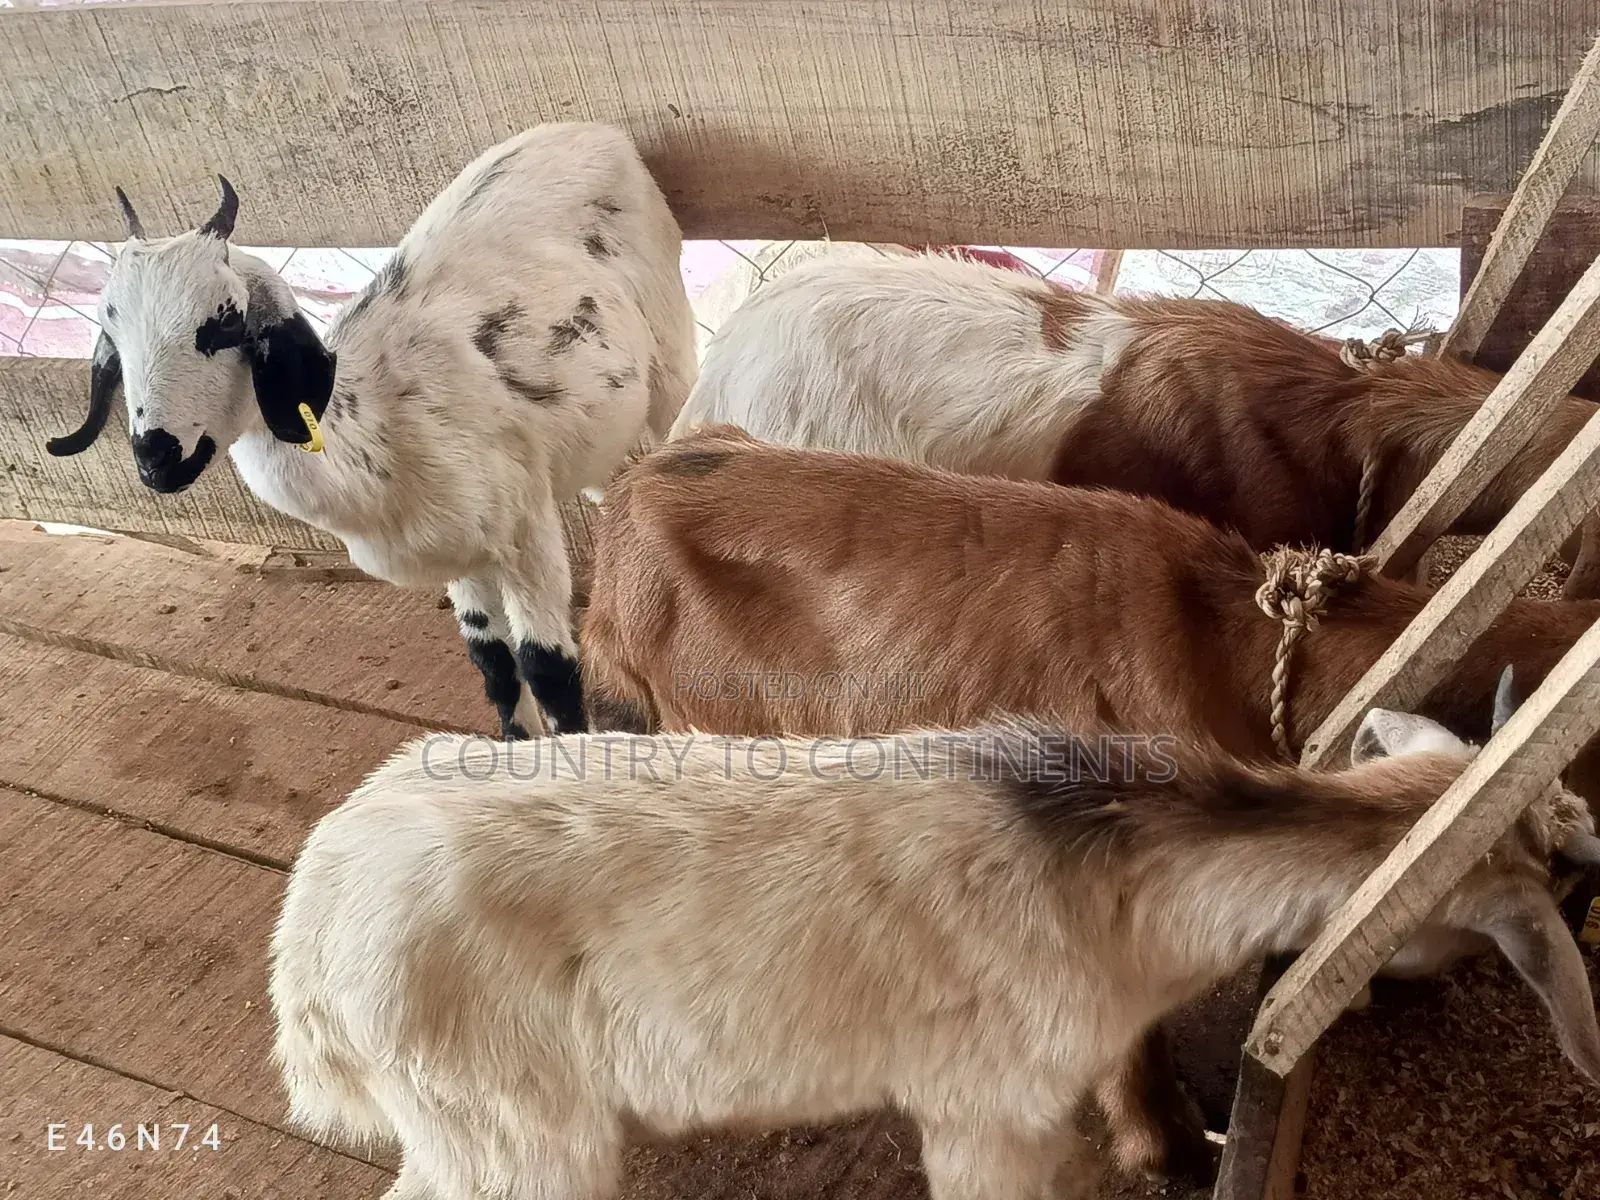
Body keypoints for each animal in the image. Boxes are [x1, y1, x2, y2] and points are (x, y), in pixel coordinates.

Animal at [44, 123, 698, 738]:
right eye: (111, 335)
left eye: (224, 323)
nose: (154, 458)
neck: (379, 438)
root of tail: (597, 131)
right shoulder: (461, 556)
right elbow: (496, 670)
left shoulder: (526, 529)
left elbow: (549, 670)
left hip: (669, 350)